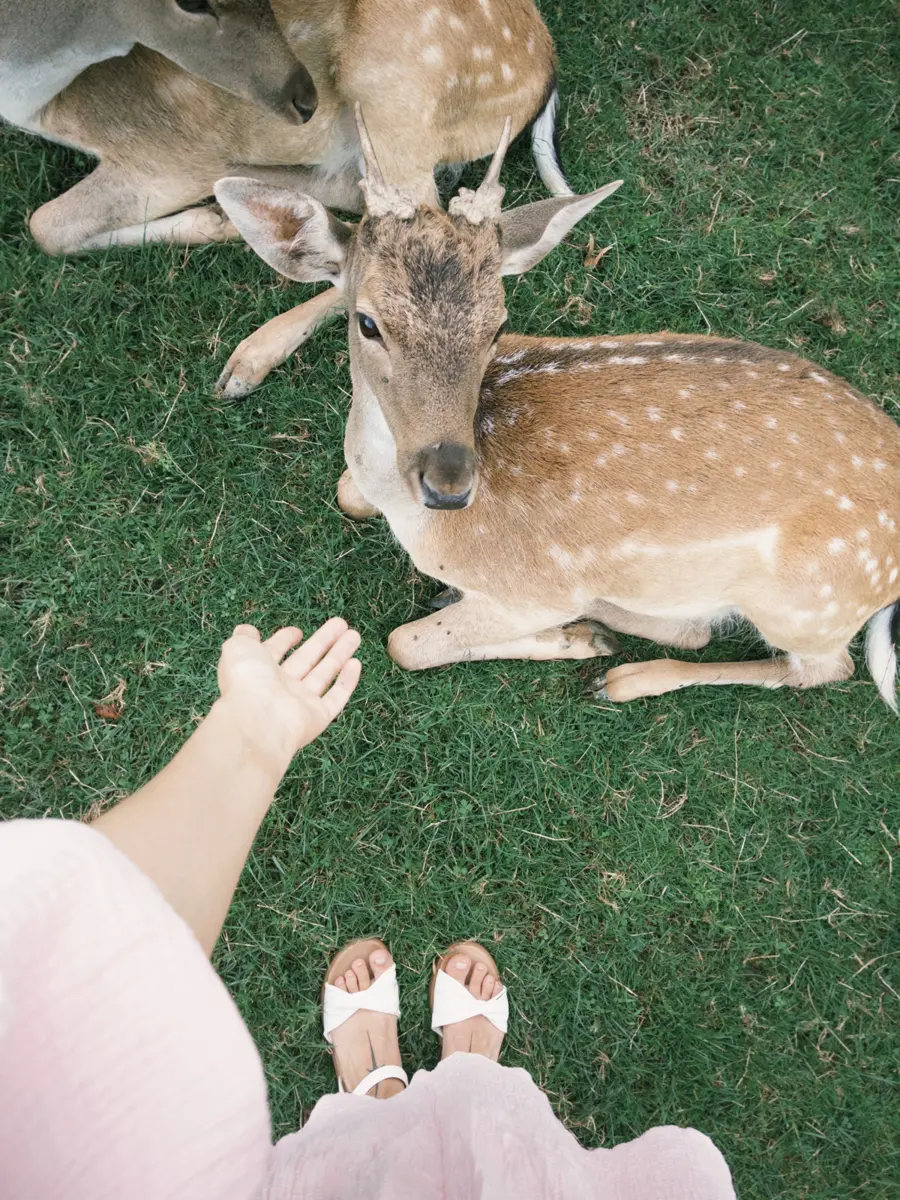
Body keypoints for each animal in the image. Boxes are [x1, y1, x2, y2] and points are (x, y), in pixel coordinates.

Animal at [213, 112, 900, 710]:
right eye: (368, 322)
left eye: (498, 325)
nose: (448, 485)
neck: (416, 519)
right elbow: (345, 490)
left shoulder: (527, 591)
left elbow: (404, 643)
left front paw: (571, 639)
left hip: (803, 603)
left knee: (822, 668)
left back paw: (619, 669)